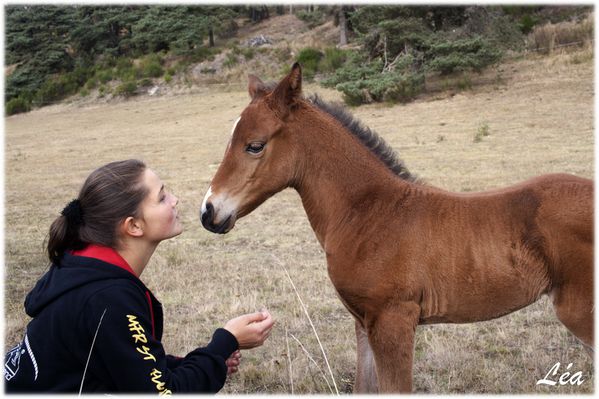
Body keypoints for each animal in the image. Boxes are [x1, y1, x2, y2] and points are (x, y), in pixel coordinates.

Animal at [200, 63, 592, 394]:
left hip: (580, 312)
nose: (209, 212)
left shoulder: (394, 320)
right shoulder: (364, 323)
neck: (369, 213)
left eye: (255, 146)